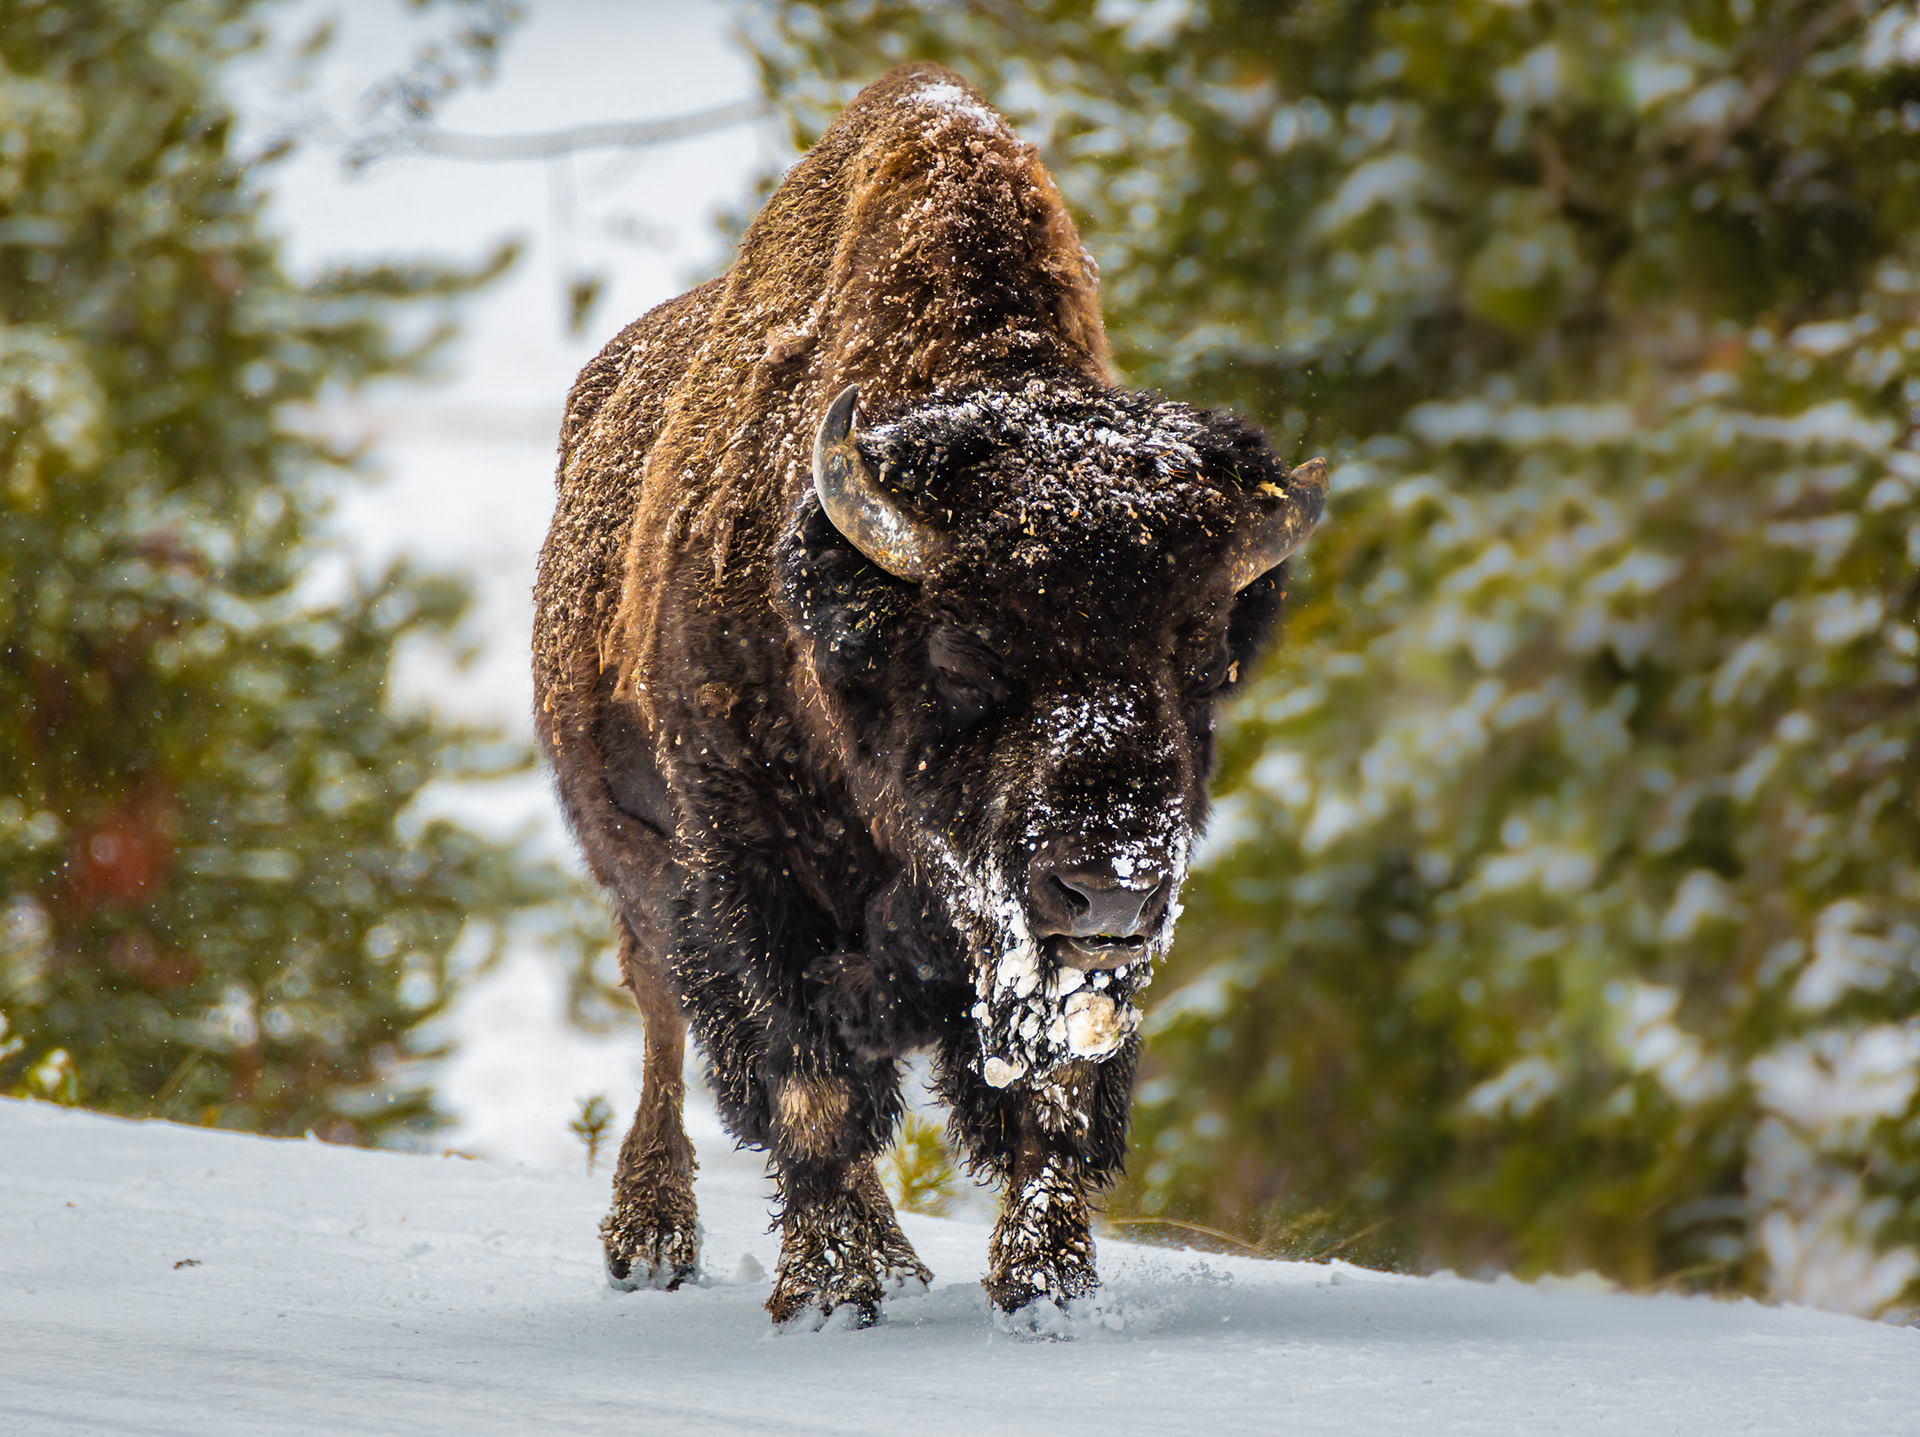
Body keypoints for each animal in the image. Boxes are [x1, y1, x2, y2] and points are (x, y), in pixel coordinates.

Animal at [532, 63, 1325, 1327]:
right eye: (960, 657)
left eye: (1199, 660)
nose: (1107, 884)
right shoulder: (754, 883)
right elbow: (809, 1090)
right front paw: (828, 1291)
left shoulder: (1055, 960)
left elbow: (1055, 1095)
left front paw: (1048, 1289)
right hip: (635, 873)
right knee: (663, 1021)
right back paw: (655, 1235)